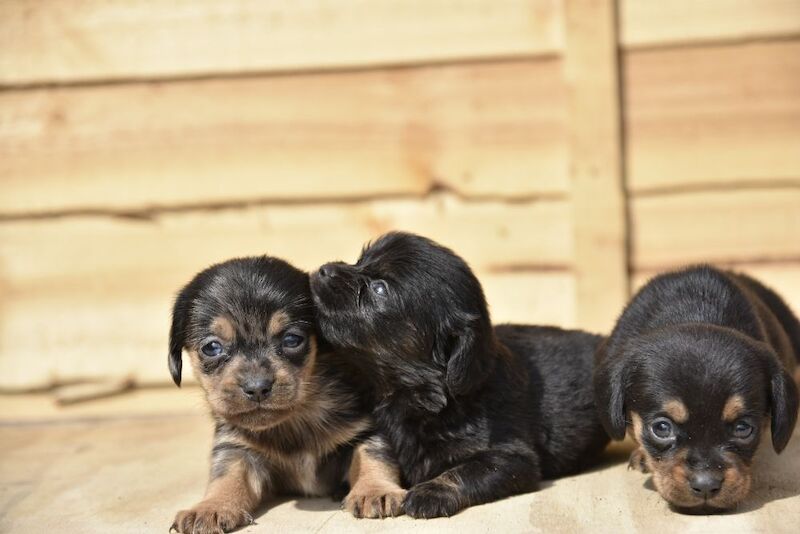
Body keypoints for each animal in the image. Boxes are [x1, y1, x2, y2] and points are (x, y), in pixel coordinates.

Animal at [169, 258, 406, 532]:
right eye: (211, 347)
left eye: (292, 339)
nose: (257, 387)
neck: (294, 421)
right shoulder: (236, 447)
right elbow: (227, 475)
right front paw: (211, 507)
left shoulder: (366, 428)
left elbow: (372, 456)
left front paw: (376, 491)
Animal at [310, 233, 608, 520]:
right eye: (360, 260)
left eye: (380, 288)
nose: (324, 270)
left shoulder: (511, 457)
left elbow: (465, 471)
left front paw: (430, 492)